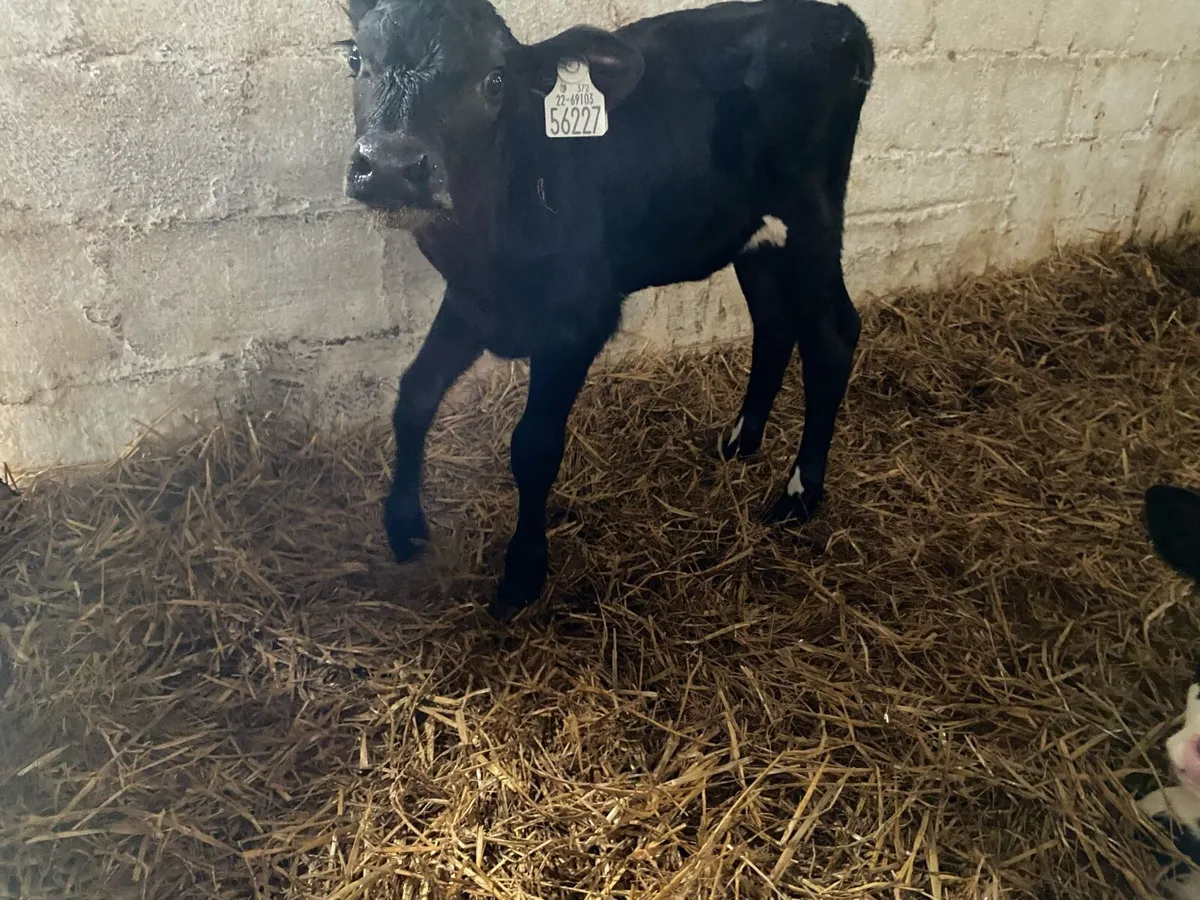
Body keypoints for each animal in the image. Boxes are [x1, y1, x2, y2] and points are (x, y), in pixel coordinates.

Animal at [338, 0, 875, 620]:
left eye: (495, 80)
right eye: (356, 59)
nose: (390, 165)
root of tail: (839, 19)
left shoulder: (578, 321)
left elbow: (533, 446)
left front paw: (522, 574)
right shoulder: (472, 303)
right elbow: (415, 394)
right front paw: (403, 527)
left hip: (813, 222)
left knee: (834, 335)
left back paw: (799, 494)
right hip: (757, 236)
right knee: (773, 320)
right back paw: (741, 441)